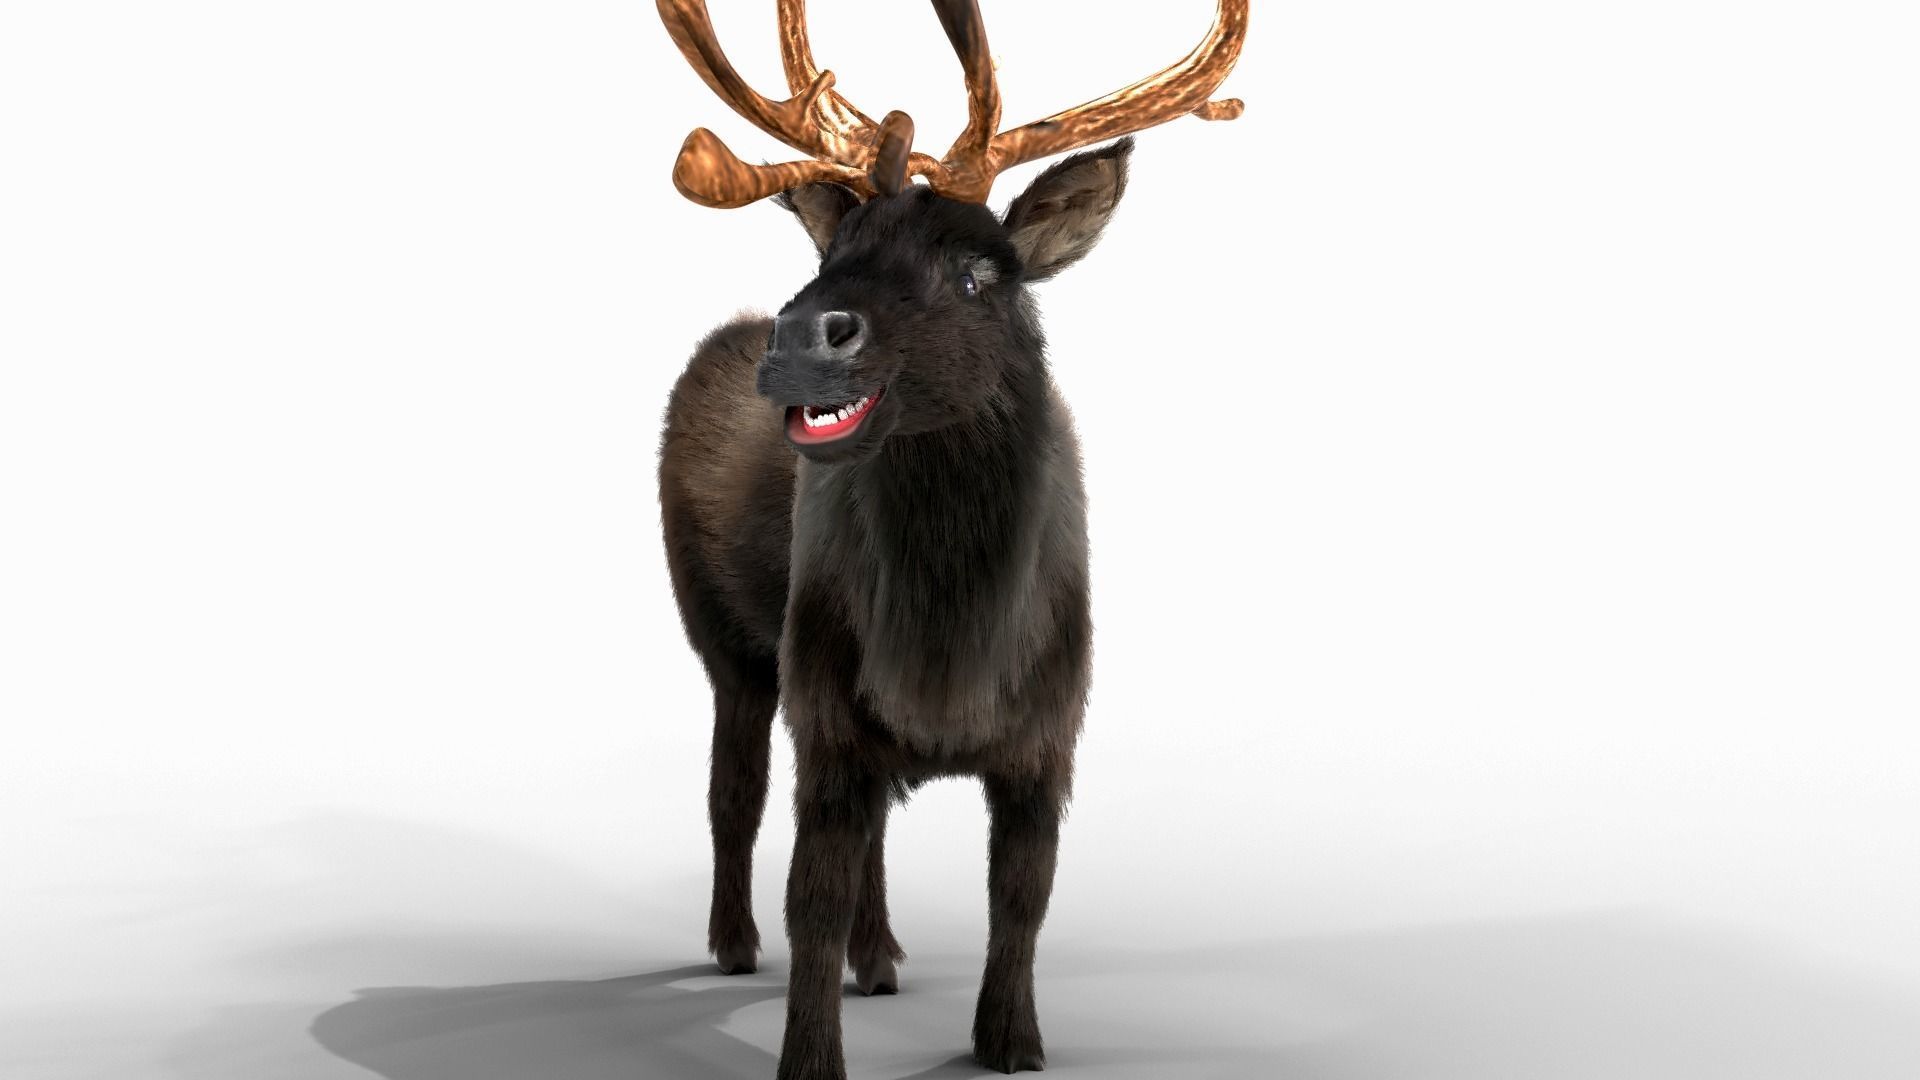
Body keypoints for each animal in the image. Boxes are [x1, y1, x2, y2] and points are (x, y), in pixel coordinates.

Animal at [653, 1, 1247, 1076]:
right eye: (833, 250)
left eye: (977, 274)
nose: (801, 339)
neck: (949, 651)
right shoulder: (824, 703)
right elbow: (811, 896)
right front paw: (810, 1057)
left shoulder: (1052, 727)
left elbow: (1023, 893)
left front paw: (1011, 1040)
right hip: (723, 639)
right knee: (733, 788)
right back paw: (732, 942)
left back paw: (882, 958)